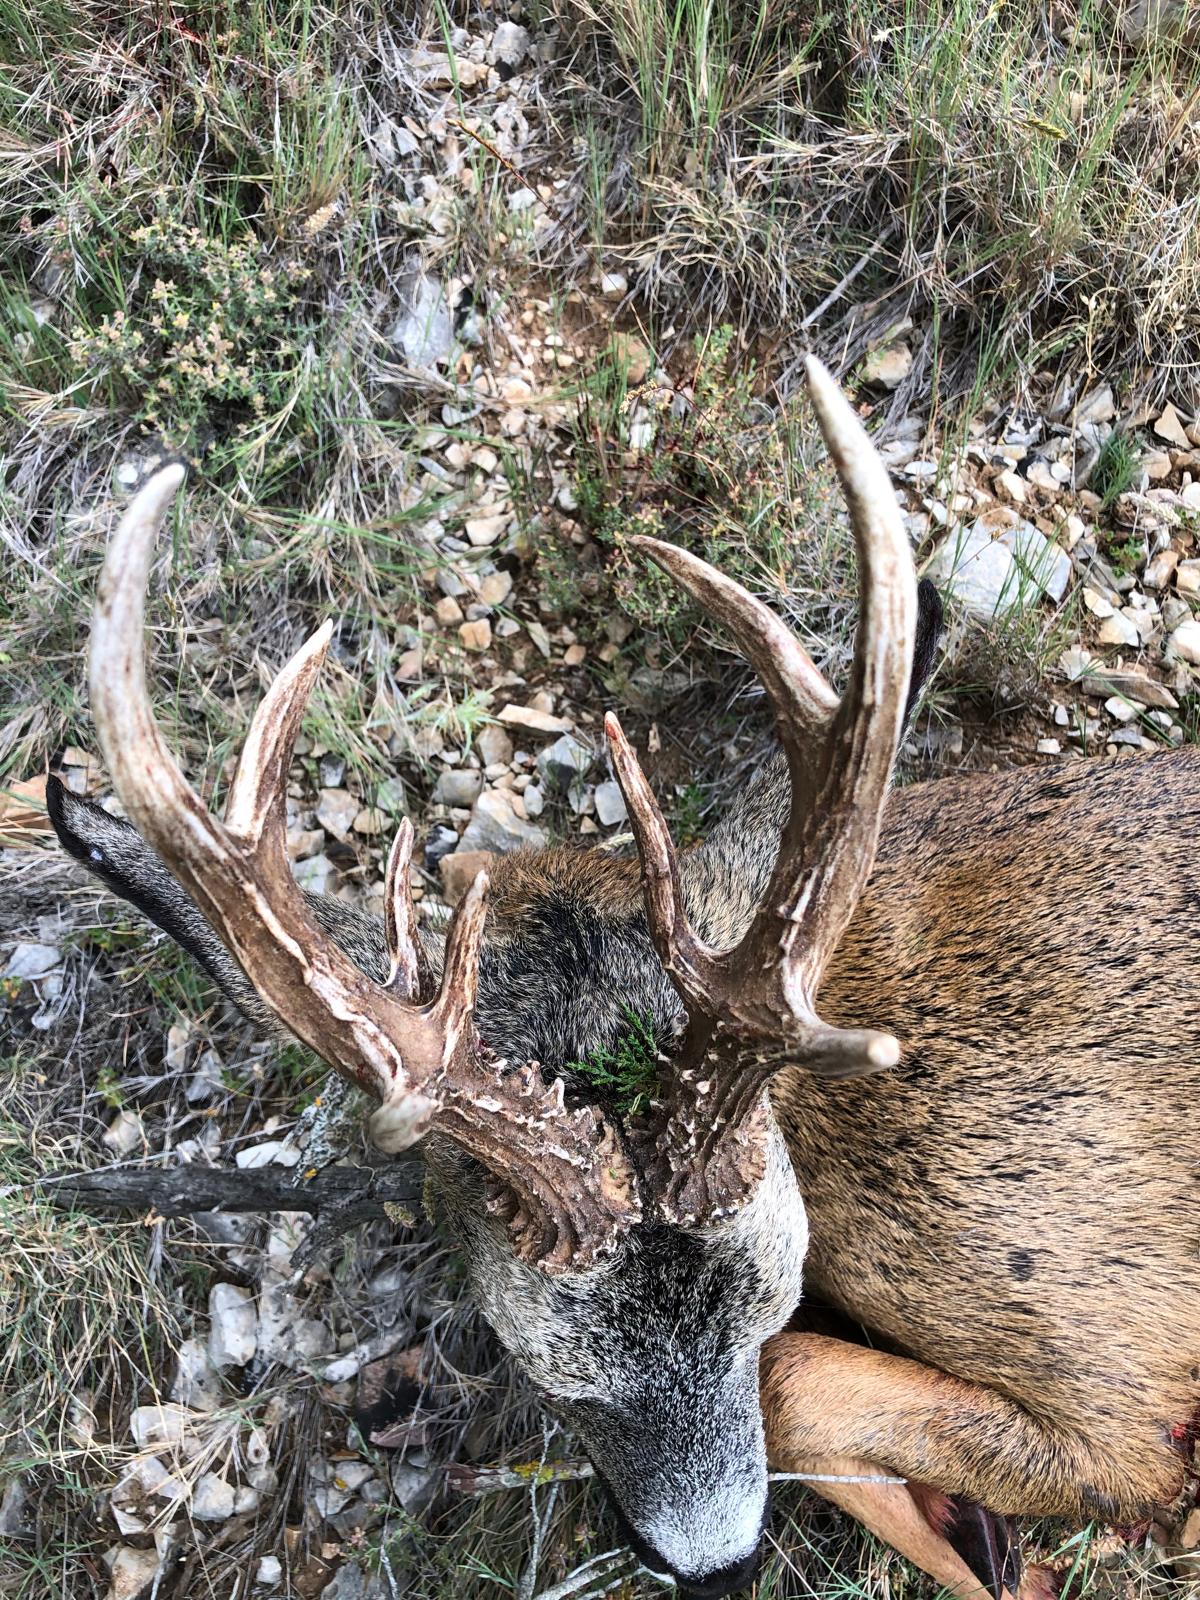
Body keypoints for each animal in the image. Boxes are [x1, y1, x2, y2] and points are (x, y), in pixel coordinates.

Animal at [47, 359, 1199, 1600]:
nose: (717, 1563)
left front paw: (994, 1545)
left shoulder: (1104, 1354)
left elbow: (812, 1391)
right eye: (556, 1374)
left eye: (770, 1304)